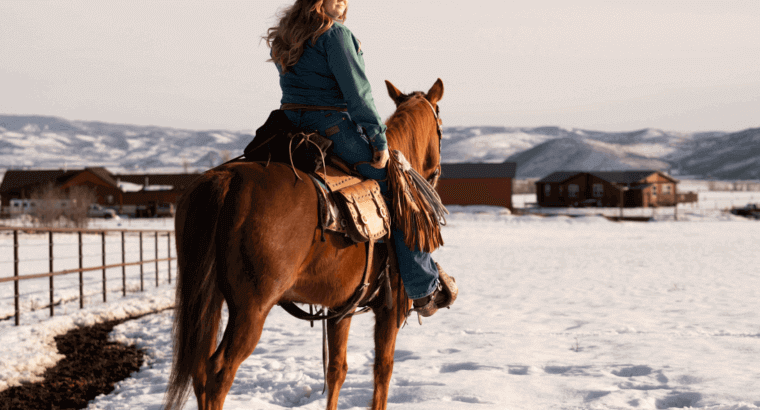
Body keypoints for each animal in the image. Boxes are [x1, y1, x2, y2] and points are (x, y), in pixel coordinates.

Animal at [163, 77, 442, 410]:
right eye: (441, 126)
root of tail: (225, 180)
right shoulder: (389, 308)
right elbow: (382, 371)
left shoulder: (341, 308)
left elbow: (337, 370)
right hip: (251, 308)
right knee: (218, 372)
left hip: (209, 299)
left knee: (199, 369)